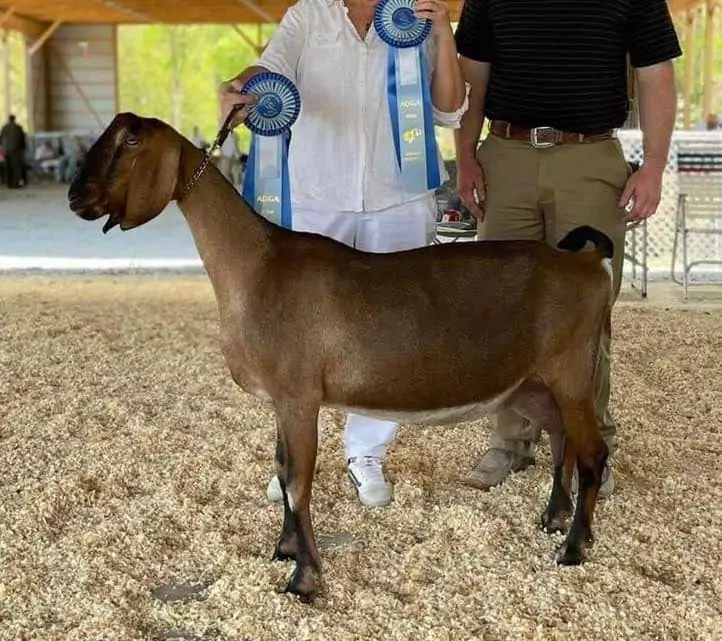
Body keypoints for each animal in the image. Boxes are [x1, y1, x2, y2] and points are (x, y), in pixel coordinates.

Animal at [68, 112, 614, 604]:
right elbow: (282, 467)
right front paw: (285, 549)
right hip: (531, 383)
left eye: (130, 140)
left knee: (592, 452)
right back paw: (554, 518)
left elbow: (297, 482)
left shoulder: (298, 395)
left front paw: (305, 581)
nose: (76, 197)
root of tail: (586, 263)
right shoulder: (281, 400)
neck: (257, 265)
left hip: (571, 371)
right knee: (561, 437)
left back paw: (573, 547)